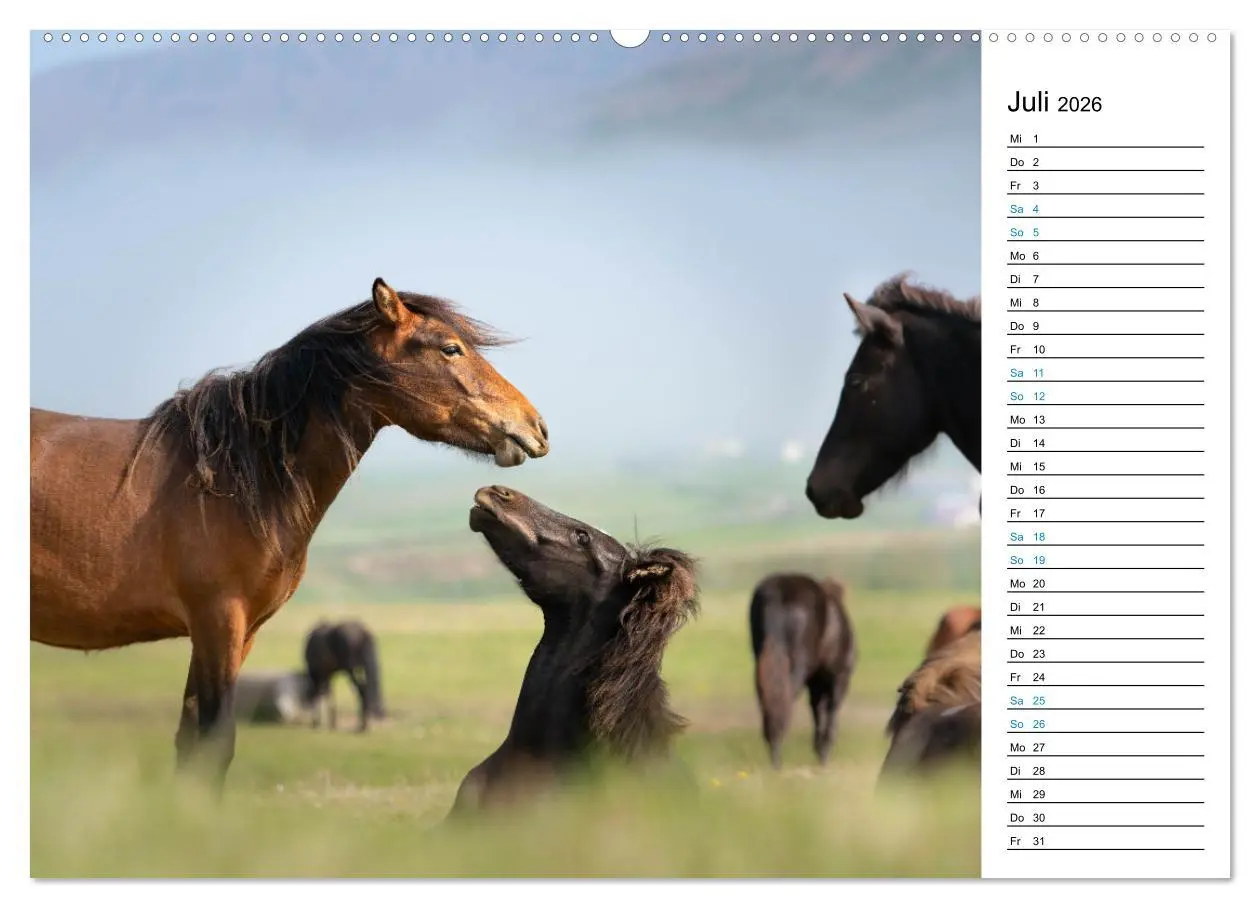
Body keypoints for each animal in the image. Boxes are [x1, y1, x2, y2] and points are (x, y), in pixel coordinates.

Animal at [30, 278, 549, 790]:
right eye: (450, 348)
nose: (536, 427)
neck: (234, 478)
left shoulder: (238, 633)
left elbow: (191, 742)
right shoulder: (218, 621)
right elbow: (214, 743)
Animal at [749, 573, 858, 769]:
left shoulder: (816, 683)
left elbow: (817, 711)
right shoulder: (839, 678)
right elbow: (830, 711)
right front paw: (824, 754)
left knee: (769, 703)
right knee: (782, 705)